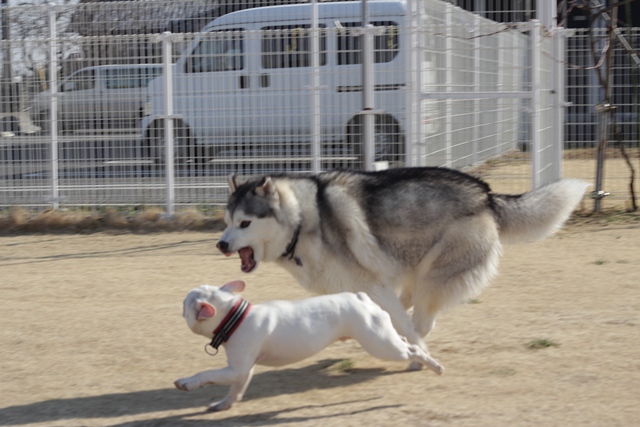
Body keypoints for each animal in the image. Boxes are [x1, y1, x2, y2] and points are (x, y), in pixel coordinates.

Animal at [216, 169, 592, 362]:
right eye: (227, 222)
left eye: (245, 223)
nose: (221, 244)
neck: (302, 220)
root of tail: (485, 193)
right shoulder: (358, 288)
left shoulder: (373, 284)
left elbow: (407, 325)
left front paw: (417, 352)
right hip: (412, 268)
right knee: (409, 307)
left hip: (432, 273)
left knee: (422, 319)